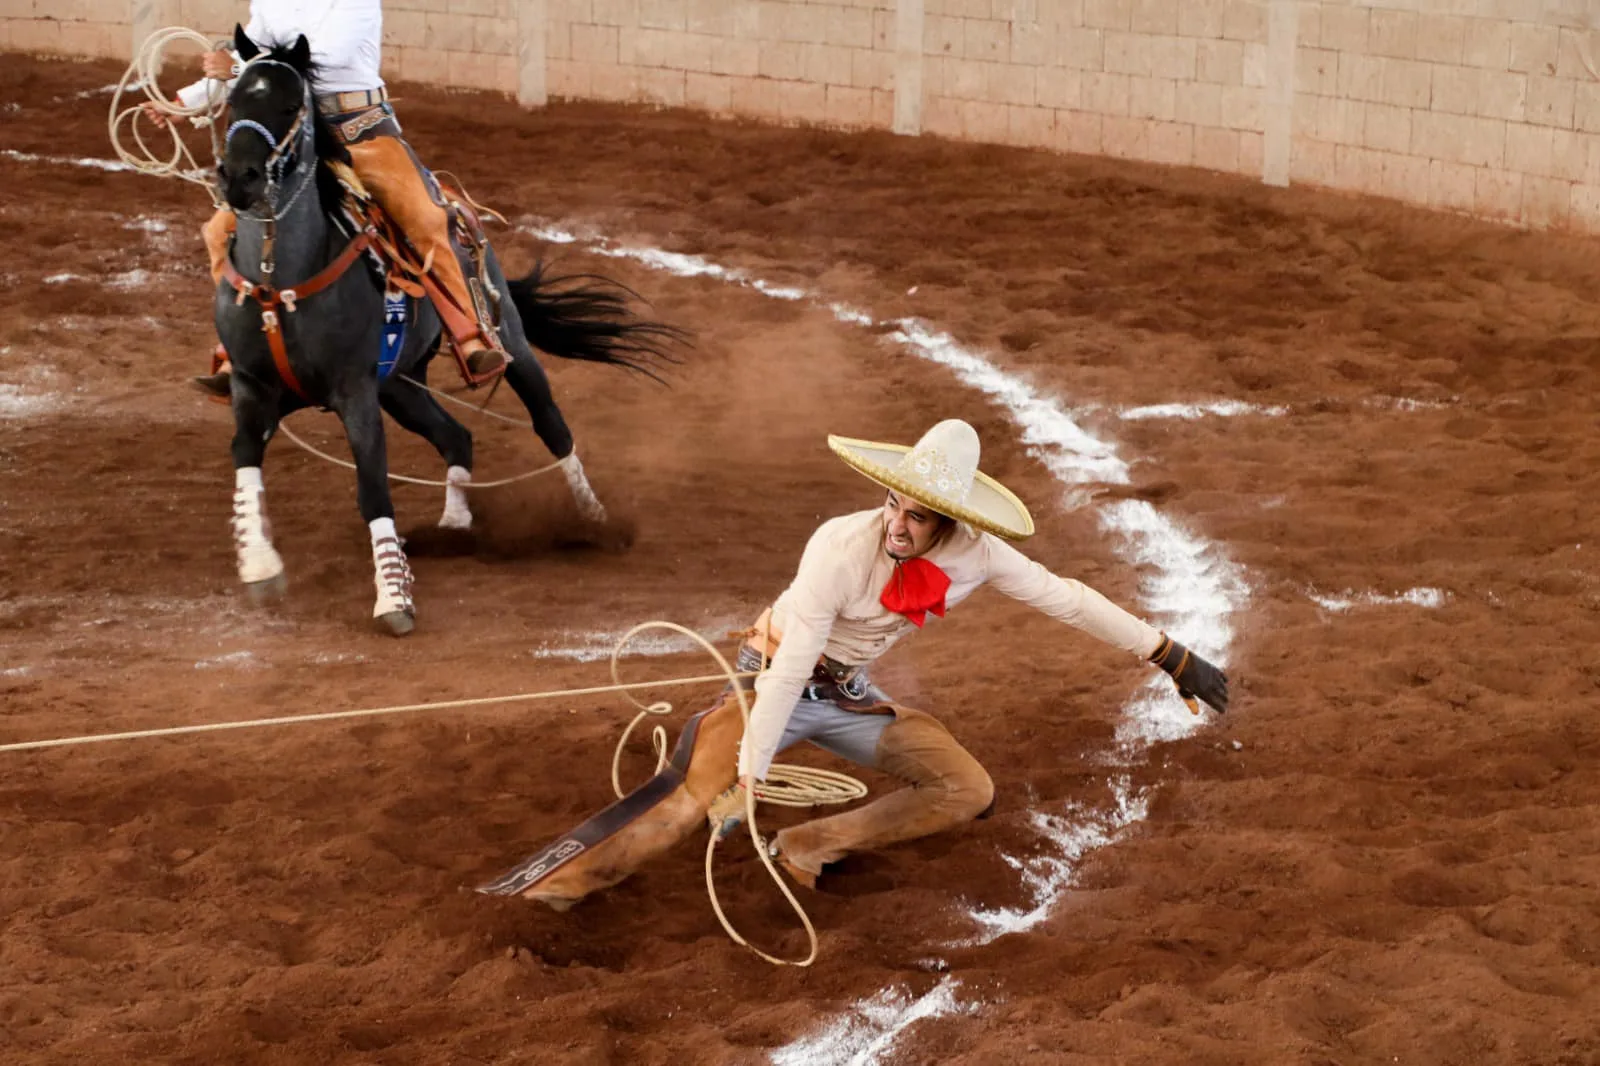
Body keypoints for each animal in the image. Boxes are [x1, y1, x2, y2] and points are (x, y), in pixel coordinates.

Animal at [217, 33, 681, 630]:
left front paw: (393, 598)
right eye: (233, 99)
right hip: (401, 386)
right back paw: (456, 525)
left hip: (508, 344)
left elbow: (373, 488)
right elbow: (245, 456)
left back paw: (593, 518)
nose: (239, 177)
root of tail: (458, 208)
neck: (281, 280)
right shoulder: (252, 385)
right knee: (457, 436)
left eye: (289, 104)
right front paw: (258, 564)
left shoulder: (355, 392)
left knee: (552, 427)